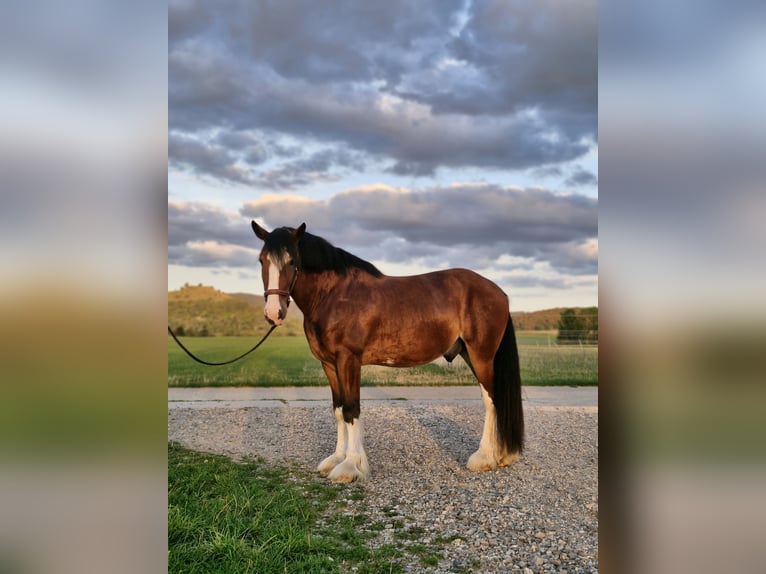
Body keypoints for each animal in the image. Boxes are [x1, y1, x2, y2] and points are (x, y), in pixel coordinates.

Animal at [251, 221, 524, 483]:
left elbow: (351, 409)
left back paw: (484, 458)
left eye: (292, 261)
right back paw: (502, 455)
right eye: (262, 260)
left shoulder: (348, 360)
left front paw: (351, 467)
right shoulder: (329, 364)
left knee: (491, 401)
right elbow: (339, 411)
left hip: (481, 356)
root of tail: (499, 292)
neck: (333, 295)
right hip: (470, 354)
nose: (273, 313)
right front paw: (337, 459)